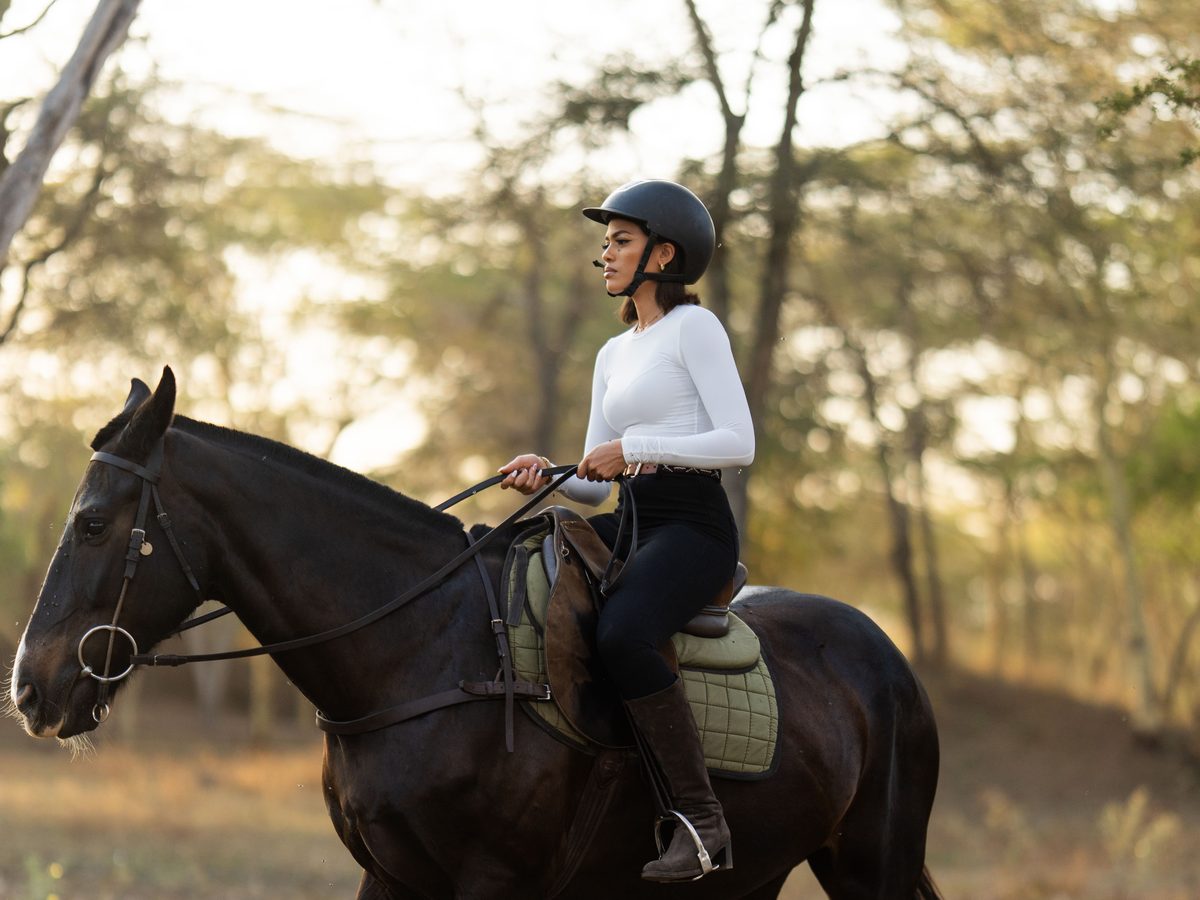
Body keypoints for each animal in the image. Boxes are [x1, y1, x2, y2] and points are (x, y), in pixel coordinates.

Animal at [9, 368, 941, 899]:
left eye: (93, 524)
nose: (28, 689)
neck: (421, 655)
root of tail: (888, 660)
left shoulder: (490, 881)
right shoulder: (388, 875)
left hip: (873, 868)